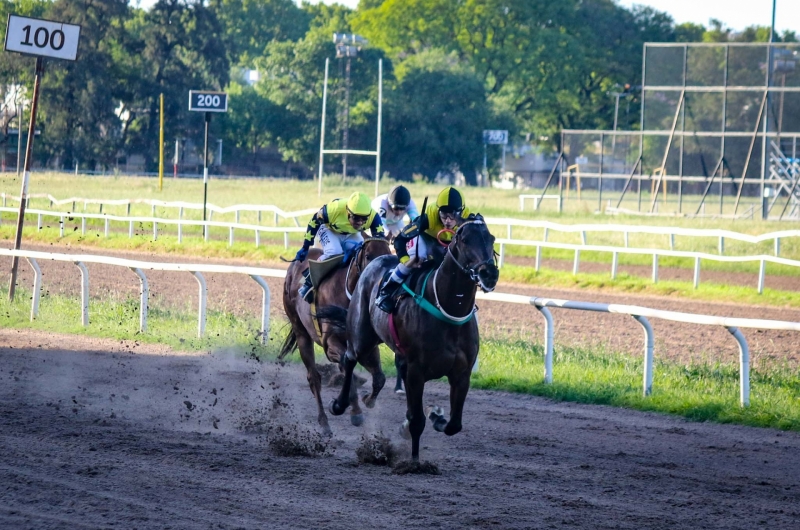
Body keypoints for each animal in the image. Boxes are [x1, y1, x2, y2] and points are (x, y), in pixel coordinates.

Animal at [282, 236, 390, 434]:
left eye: (389, 253)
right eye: (369, 256)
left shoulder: (366, 347)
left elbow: (379, 377)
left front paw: (367, 400)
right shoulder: (330, 343)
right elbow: (348, 372)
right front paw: (348, 408)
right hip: (301, 332)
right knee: (314, 378)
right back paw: (324, 422)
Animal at [324, 213, 494, 458]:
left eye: (491, 238)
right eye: (465, 240)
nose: (489, 273)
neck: (449, 310)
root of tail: (376, 260)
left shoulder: (462, 373)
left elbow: (454, 425)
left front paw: (436, 417)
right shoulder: (417, 370)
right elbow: (417, 422)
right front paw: (413, 460)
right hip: (362, 336)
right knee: (350, 358)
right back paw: (341, 404)